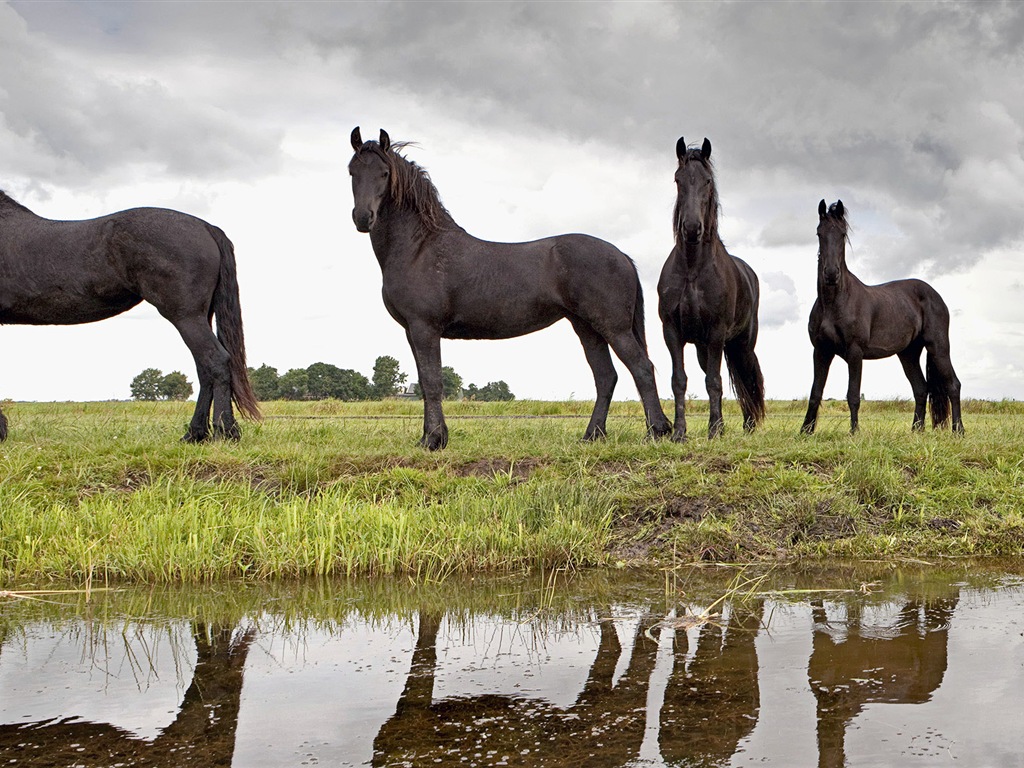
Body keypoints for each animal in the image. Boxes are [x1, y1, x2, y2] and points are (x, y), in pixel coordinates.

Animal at [0, 189, 260, 442]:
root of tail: (206, 227)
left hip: (186, 317)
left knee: (216, 361)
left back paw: (223, 433)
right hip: (200, 317)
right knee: (204, 369)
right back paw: (194, 434)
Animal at [348, 128, 675, 450]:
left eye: (384, 173)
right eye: (352, 170)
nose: (363, 218)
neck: (420, 247)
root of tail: (622, 256)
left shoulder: (424, 327)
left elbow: (432, 382)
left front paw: (434, 440)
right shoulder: (412, 331)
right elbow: (424, 382)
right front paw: (428, 438)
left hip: (613, 328)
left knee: (641, 368)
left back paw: (657, 432)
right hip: (586, 328)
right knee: (606, 377)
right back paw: (592, 435)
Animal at [659, 135, 765, 442]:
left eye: (707, 181)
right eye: (678, 179)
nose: (692, 228)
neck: (693, 269)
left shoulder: (717, 332)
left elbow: (715, 381)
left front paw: (715, 430)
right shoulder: (672, 332)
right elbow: (679, 381)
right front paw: (679, 432)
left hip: (741, 344)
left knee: (746, 378)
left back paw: (748, 425)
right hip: (702, 347)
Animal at [802, 198, 962, 436]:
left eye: (842, 234)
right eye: (819, 233)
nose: (831, 274)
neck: (834, 304)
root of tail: (935, 295)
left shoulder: (855, 352)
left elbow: (853, 395)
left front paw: (854, 433)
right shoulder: (821, 351)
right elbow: (815, 393)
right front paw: (805, 432)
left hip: (938, 347)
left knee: (953, 385)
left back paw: (958, 430)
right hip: (908, 353)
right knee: (921, 389)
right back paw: (916, 431)